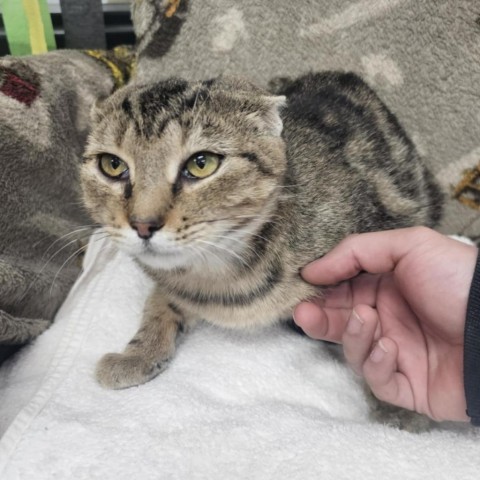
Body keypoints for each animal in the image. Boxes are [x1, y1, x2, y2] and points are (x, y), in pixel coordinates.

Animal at [81, 70, 442, 424]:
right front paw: (138, 352)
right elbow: (161, 303)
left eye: (201, 163)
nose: (143, 224)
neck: (219, 276)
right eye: (112, 165)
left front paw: (397, 404)